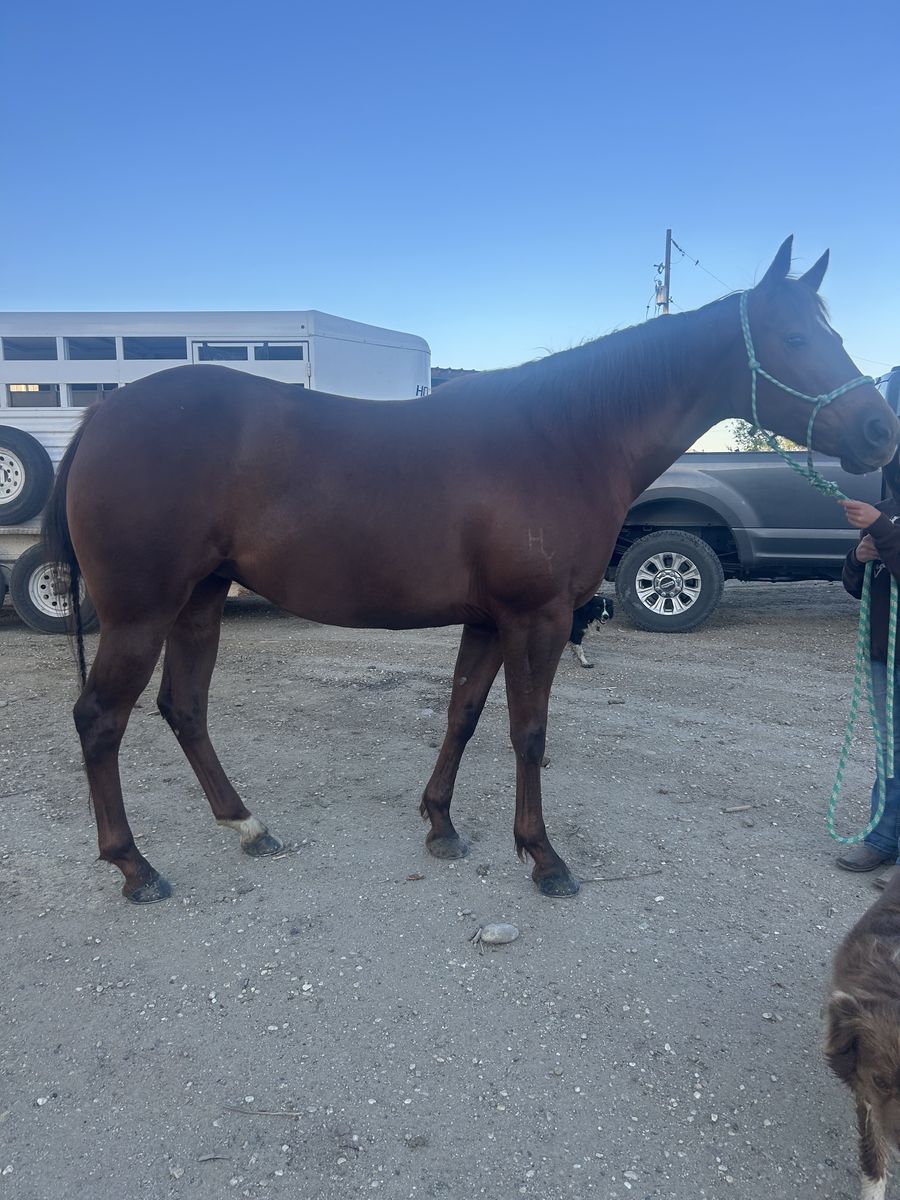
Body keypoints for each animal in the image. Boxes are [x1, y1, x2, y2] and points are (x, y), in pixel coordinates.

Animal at [43, 237, 899, 905]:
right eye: (792, 336)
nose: (878, 430)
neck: (563, 436)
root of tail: (103, 415)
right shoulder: (536, 617)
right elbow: (528, 732)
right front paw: (545, 858)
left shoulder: (488, 620)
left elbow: (463, 715)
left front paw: (442, 825)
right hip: (141, 612)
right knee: (99, 719)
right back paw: (135, 867)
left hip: (200, 599)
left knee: (184, 708)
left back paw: (248, 825)